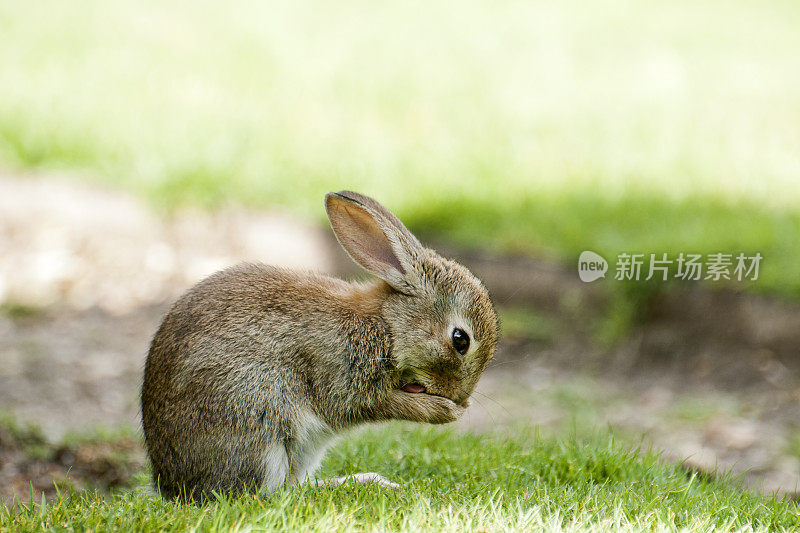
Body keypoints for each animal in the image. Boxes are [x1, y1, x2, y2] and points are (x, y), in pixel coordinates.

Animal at [141, 190, 496, 498]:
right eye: (460, 340)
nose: (462, 397)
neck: (388, 325)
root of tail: (171, 485)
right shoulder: (340, 374)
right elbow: (373, 404)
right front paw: (446, 411)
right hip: (259, 420)